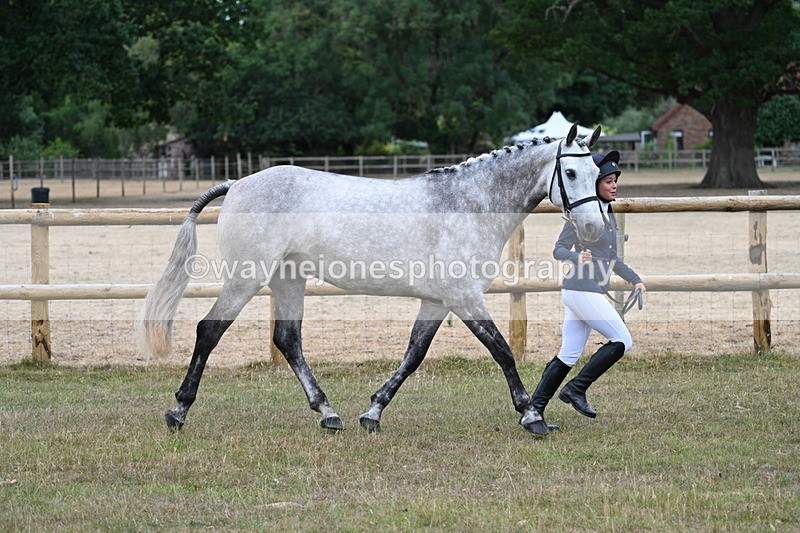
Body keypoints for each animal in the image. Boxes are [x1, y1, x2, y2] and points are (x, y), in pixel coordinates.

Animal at [136, 124, 604, 437]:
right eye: (572, 174)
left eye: (598, 172)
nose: (594, 229)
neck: (469, 204)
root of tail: (238, 183)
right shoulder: (464, 297)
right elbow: (502, 351)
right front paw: (532, 416)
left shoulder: (438, 302)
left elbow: (414, 355)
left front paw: (373, 413)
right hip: (246, 278)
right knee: (209, 330)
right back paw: (178, 412)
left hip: (288, 280)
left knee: (288, 340)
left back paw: (329, 414)